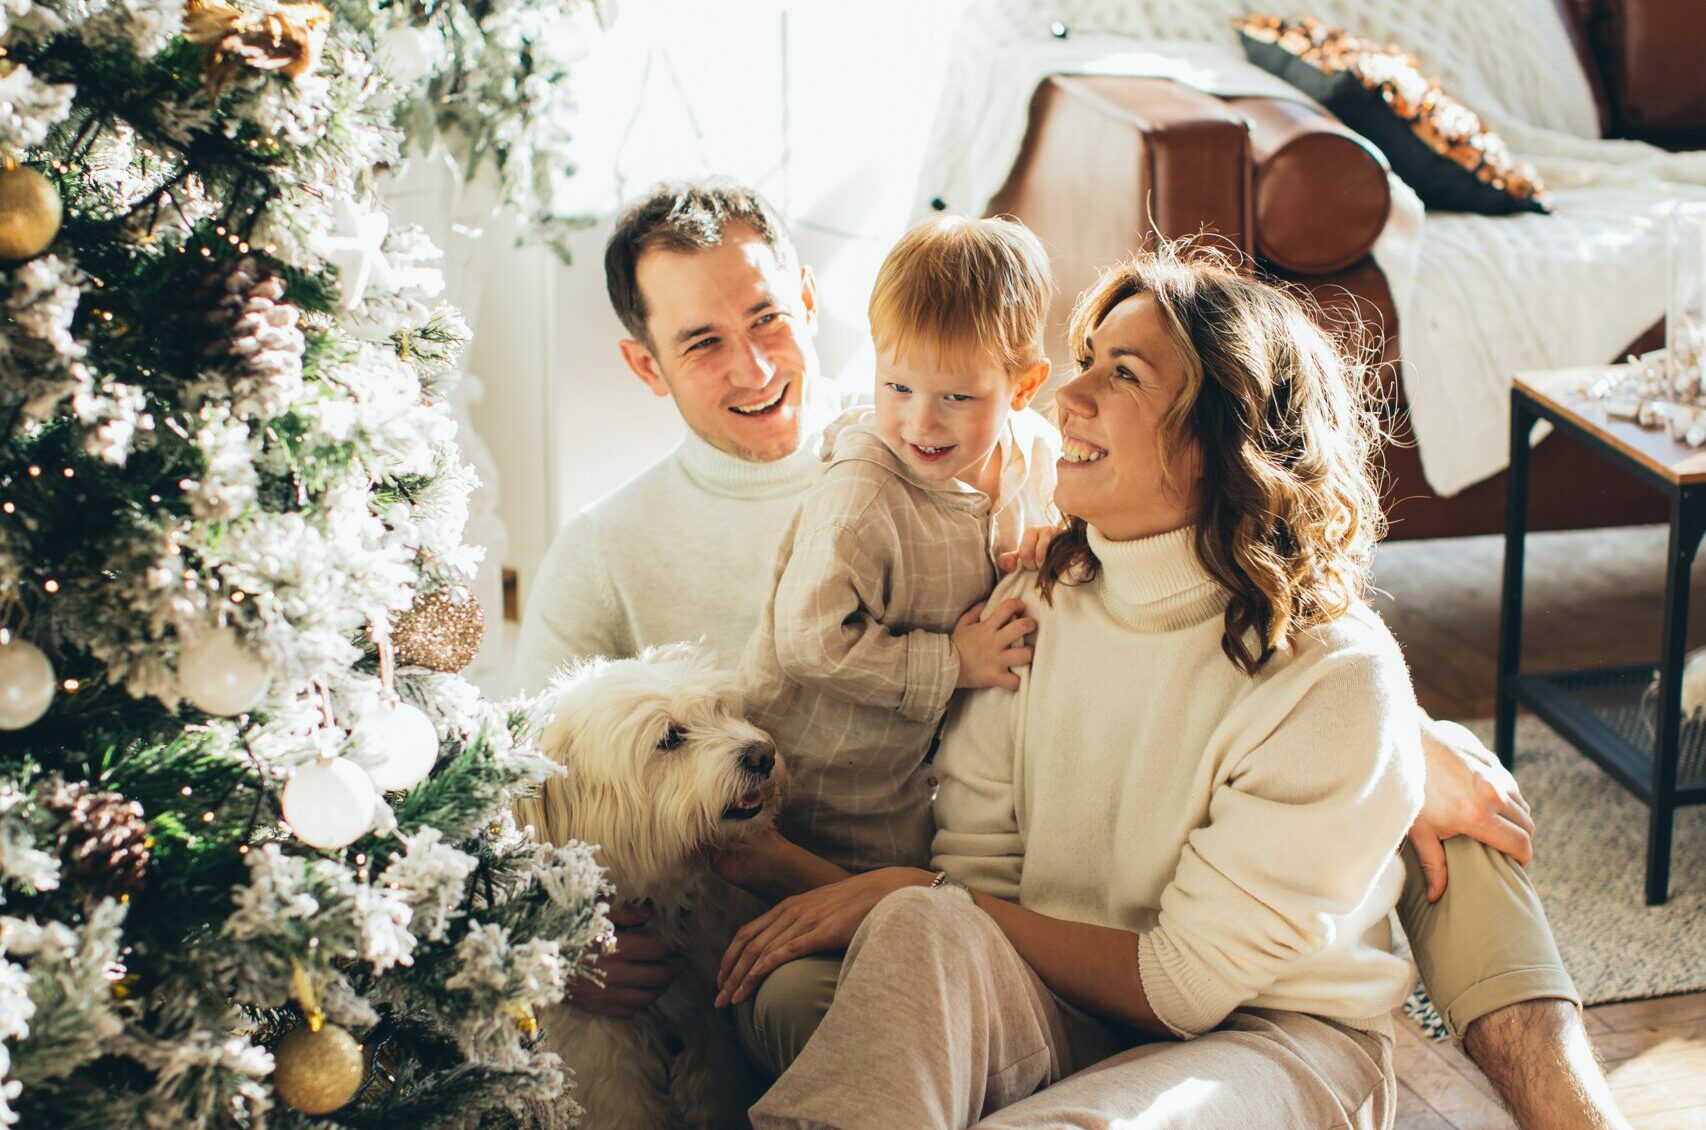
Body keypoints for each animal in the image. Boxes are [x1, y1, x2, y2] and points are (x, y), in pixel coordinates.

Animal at [518, 645, 784, 1130]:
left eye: (719, 710)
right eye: (670, 738)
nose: (763, 754)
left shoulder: (708, 1021)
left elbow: (714, 1090)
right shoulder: (600, 1040)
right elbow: (623, 1109)